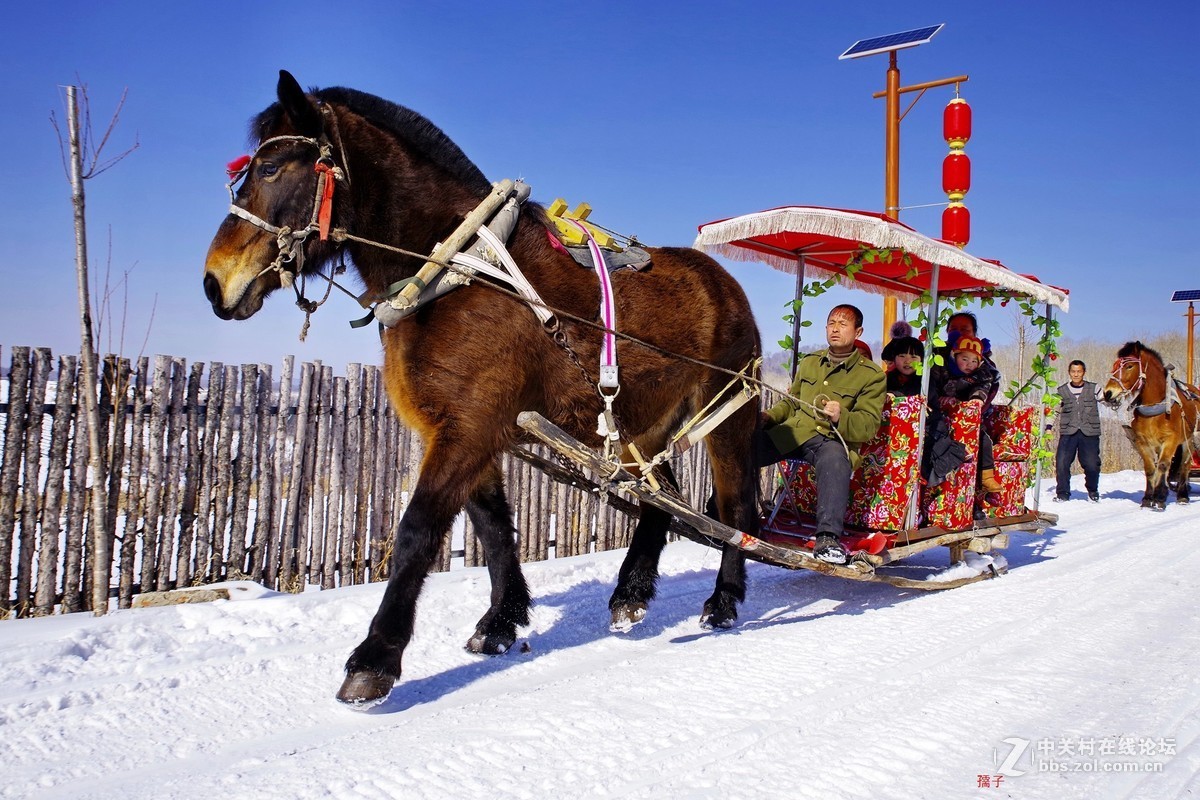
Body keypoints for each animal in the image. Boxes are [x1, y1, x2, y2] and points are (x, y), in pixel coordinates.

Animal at [198, 71, 758, 705]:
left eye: (271, 169)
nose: (214, 282)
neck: (453, 270)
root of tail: (724, 282)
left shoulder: (468, 429)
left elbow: (417, 530)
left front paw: (375, 657)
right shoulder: (464, 430)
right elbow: (492, 529)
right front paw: (501, 620)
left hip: (725, 413)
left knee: (735, 507)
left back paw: (723, 601)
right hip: (640, 428)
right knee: (660, 504)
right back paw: (630, 594)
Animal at [1104, 340, 1200, 510]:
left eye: (1129, 366)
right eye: (1114, 365)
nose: (1108, 393)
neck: (1155, 407)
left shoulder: (1171, 440)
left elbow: (1162, 465)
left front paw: (1160, 498)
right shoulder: (1142, 442)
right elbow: (1150, 469)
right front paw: (1149, 498)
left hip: (1189, 440)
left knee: (1184, 465)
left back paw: (1182, 496)